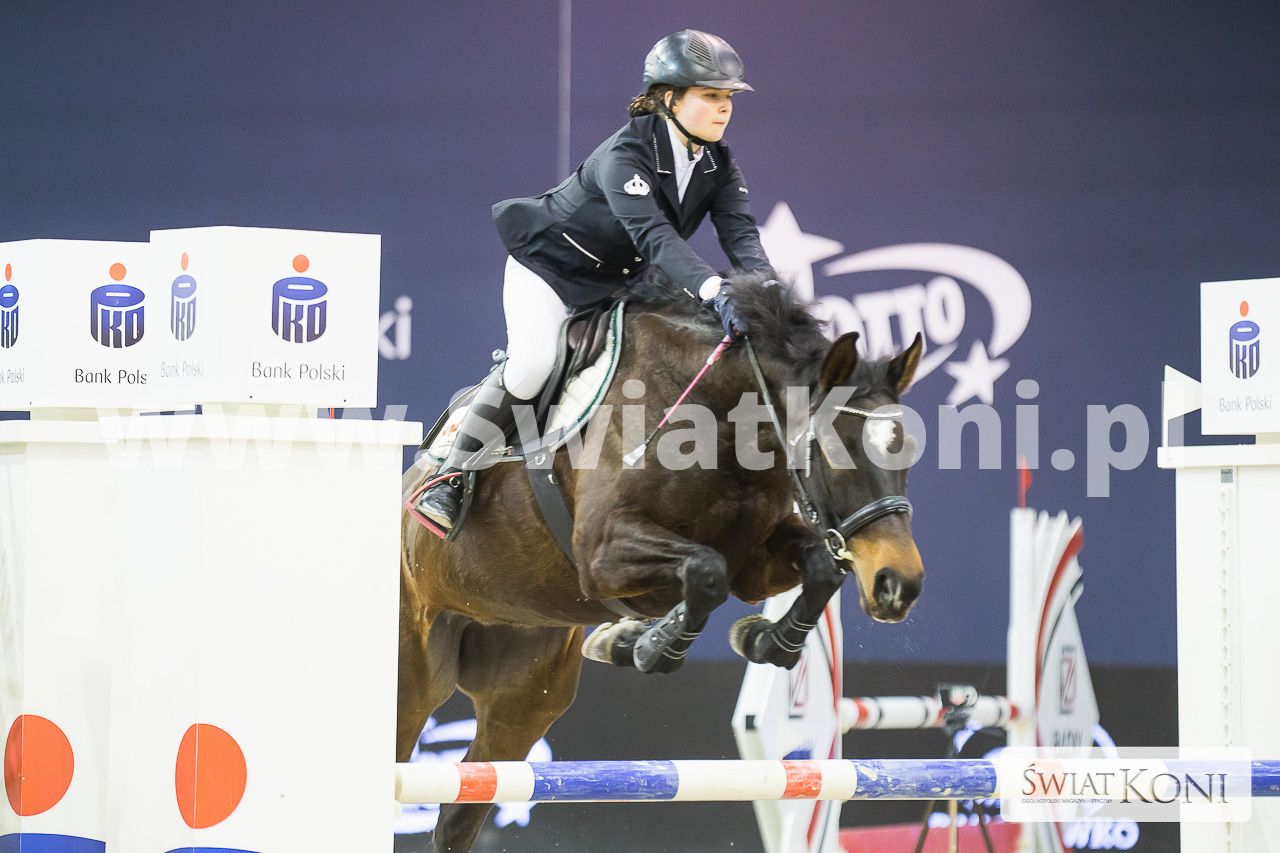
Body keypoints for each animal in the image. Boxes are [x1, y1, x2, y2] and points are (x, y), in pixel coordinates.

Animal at [397, 273, 925, 852]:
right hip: (408, 680)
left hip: (521, 692)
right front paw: (650, 645)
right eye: (834, 449)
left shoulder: (753, 560)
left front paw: (764, 641)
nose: (899, 585)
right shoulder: (603, 553)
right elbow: (705, 571)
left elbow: (818, 568)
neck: (724, 423)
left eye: (908, 451)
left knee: (459, 815)